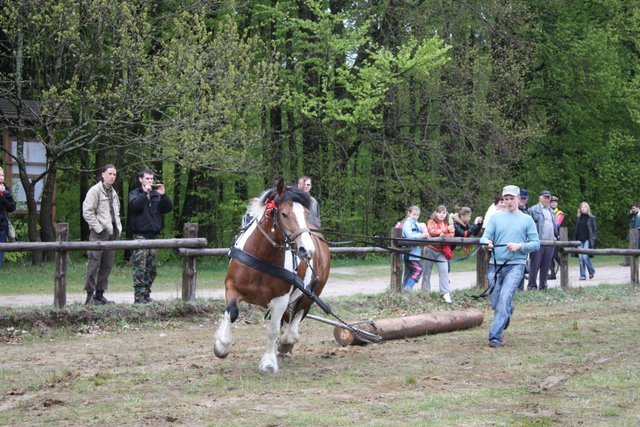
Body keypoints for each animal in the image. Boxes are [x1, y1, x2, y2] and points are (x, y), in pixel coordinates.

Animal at [212, 179, 330, 372]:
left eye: (306, 214)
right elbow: (232, 312)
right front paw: (222, 345)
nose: (307, 250)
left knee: (299, 314)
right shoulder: (231, 287)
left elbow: (273, 330)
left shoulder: (280, 299)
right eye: (284, 214)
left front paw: (268, 362)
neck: (262, 258)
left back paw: (286, 342)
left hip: (311, 293)